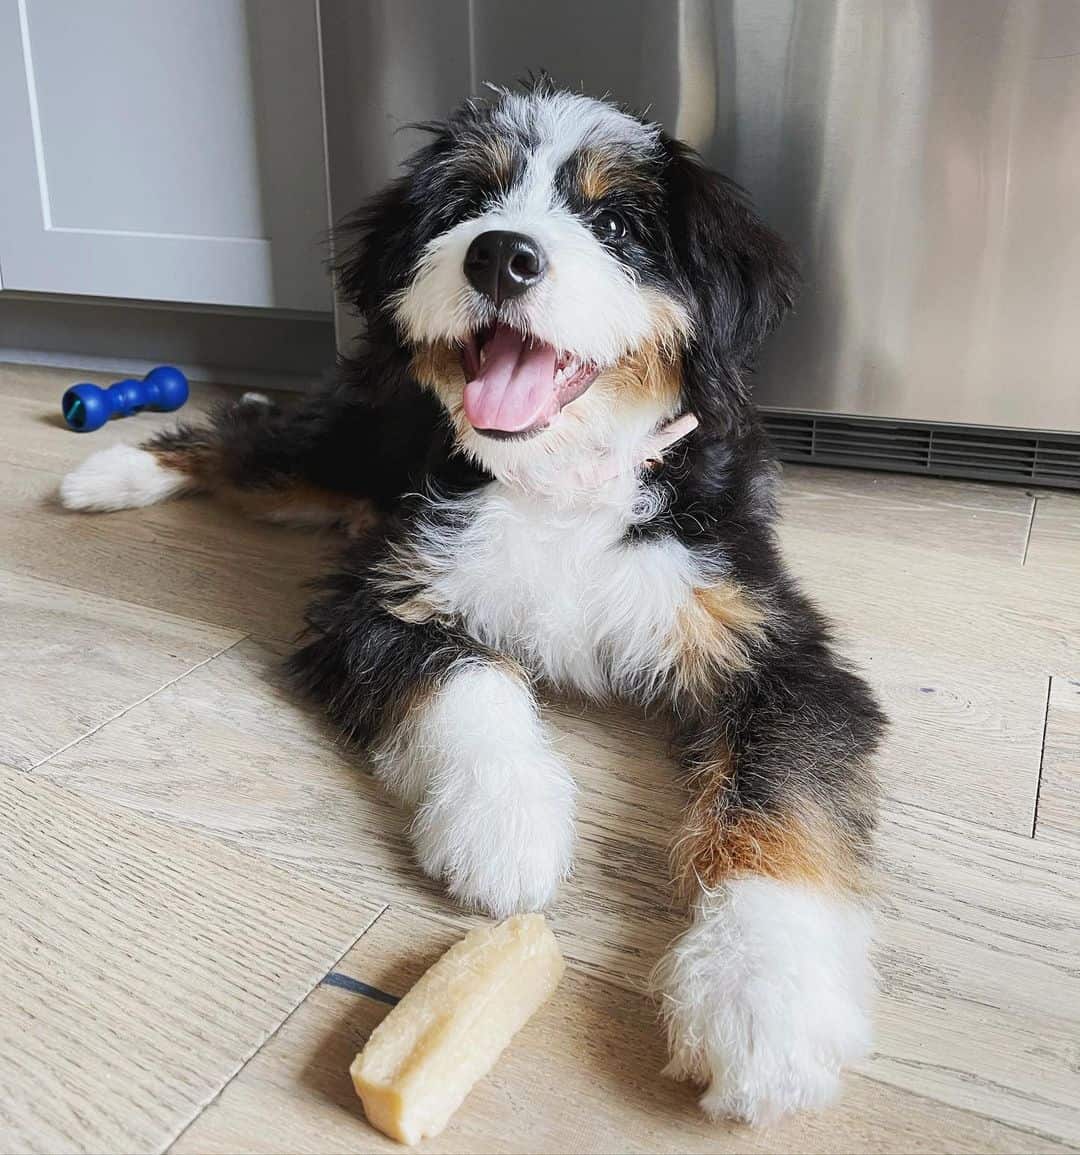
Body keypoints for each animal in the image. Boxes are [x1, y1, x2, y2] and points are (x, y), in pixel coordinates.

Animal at [61, 79, 887, 1118]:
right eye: (465, 203)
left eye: (616, 223)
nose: (501, 252)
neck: (558, 482)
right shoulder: (380, 595)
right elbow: (467, 677)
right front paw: (506, 823)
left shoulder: (766, 637)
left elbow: (785, 798)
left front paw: (764, 993)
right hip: (348, 441)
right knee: (242, 439)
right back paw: (110, 471)